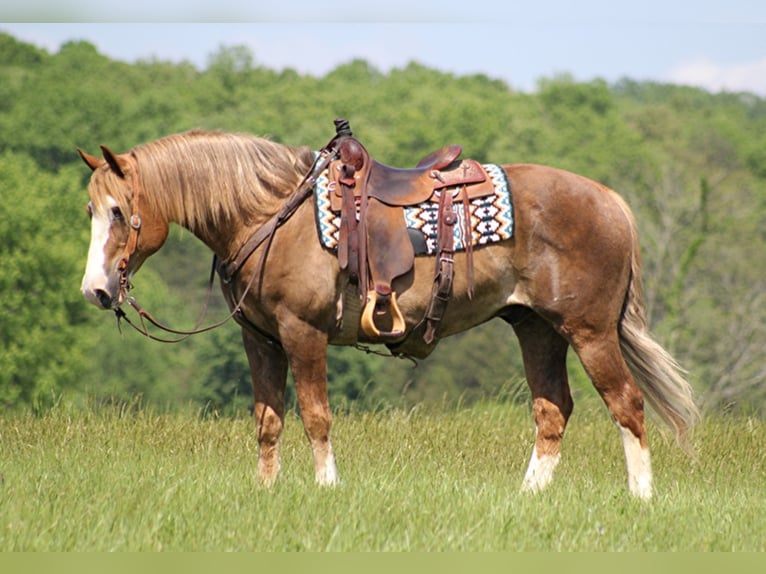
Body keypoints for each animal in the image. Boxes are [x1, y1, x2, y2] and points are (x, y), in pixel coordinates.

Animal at [79, 127, 704, 500]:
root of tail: (611, 201)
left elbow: (316, 416)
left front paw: (327, 488)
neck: (269, 215)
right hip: (537, 330)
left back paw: (640, 498)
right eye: (90, 209)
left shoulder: (302, 333)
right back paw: (529, 497)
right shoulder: (260, 340)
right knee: (553, 411)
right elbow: (268, 421)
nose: (95, 291)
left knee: (627, 404)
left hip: (590, 331)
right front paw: (265, 491)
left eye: (119, 212)